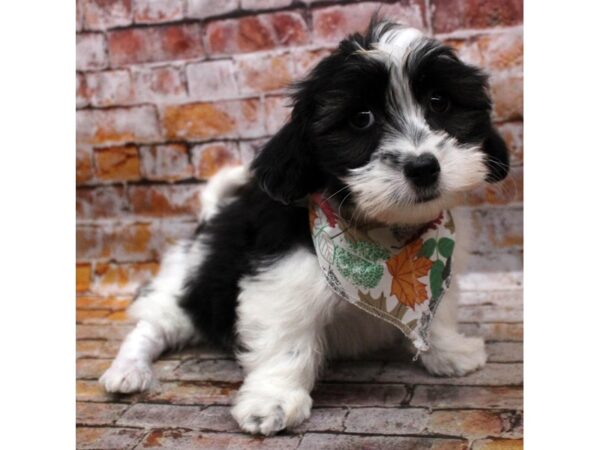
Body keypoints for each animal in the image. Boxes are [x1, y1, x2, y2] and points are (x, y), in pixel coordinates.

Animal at [99, 18, 510, 436]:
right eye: (361, 118)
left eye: (439, 102)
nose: (423, 167)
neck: (385, 232)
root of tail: (206, 223)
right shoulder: (280, 277)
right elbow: (285, 338)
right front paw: (272, 401)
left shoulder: (440, 265)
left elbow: (437, 314)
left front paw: (451, 353)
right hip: (187, 287)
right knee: (153, 324)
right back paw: (128, 370)